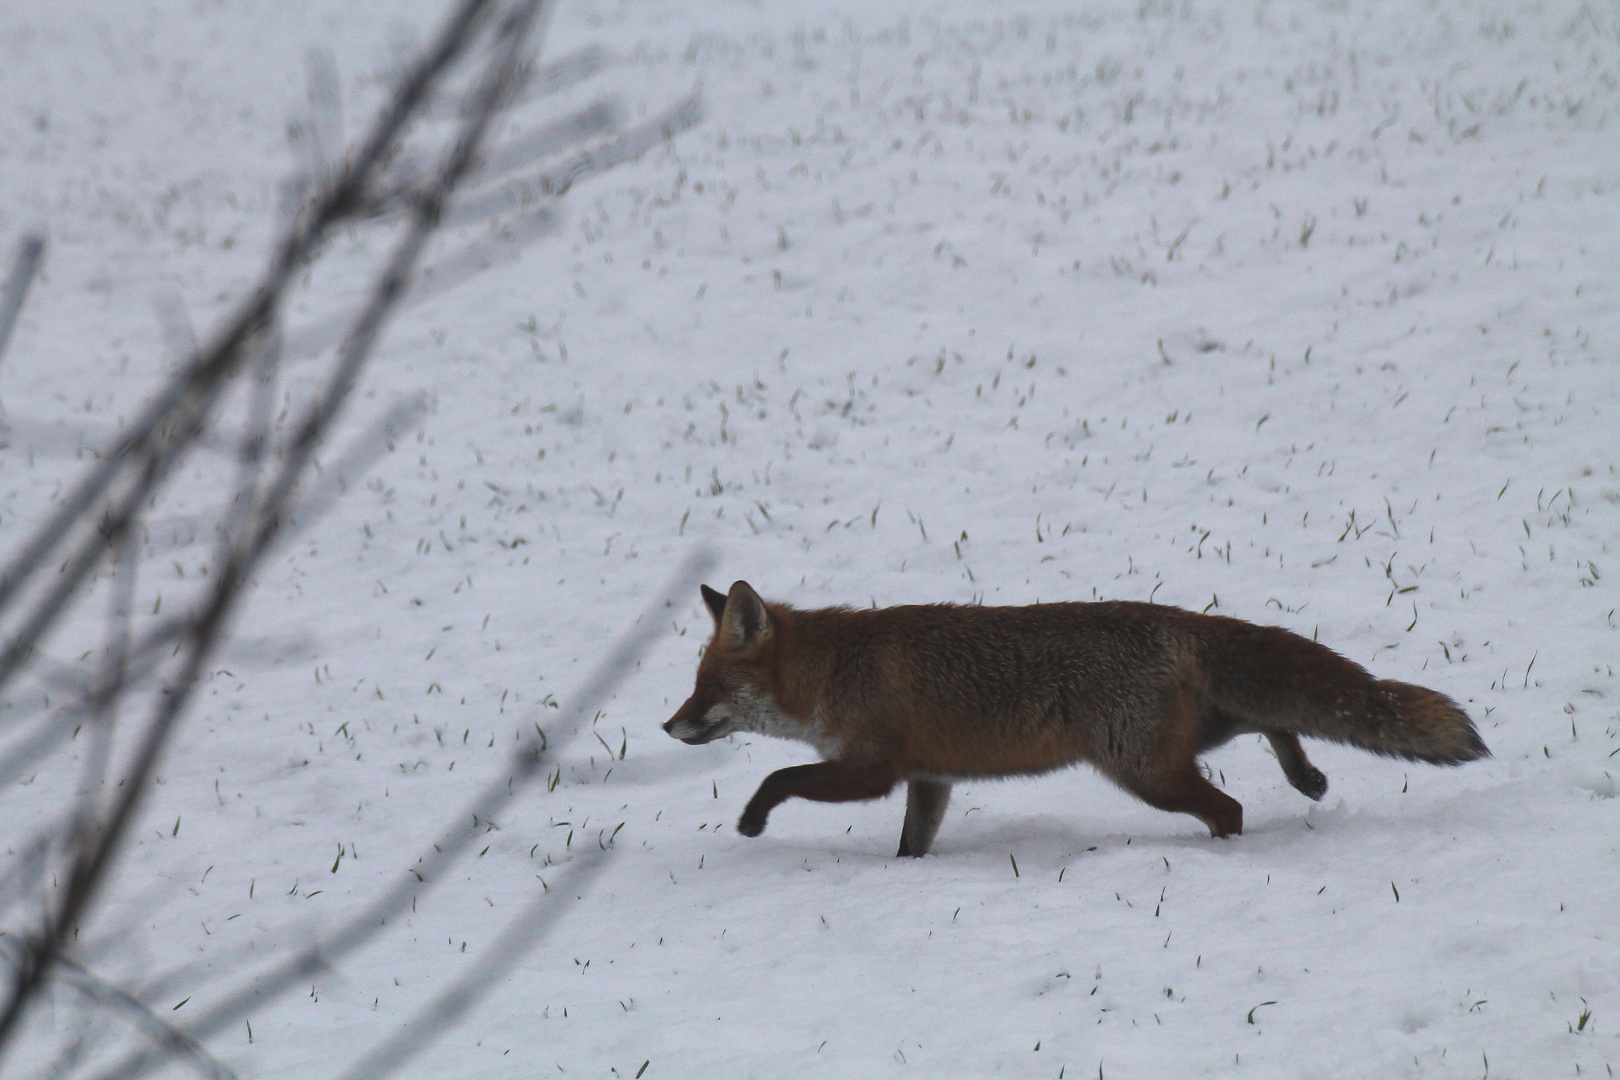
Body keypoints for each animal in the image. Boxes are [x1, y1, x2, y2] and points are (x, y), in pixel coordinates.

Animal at [664, 579, 1483, 854]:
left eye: (708, 687)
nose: (668, 728)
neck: (833, 672)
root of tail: (1176, 620)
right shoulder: (929, 780)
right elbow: (911, 847)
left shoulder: (873, 769)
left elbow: (779, 775)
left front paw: (751, 820)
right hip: (1181, 744)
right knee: (1273, 722)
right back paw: (1306, 778)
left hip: (1145, 773)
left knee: (1230, 806)